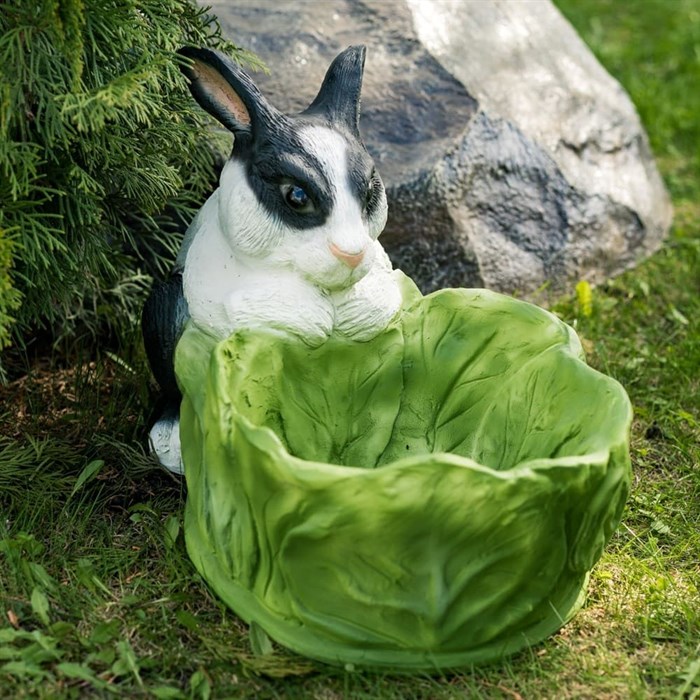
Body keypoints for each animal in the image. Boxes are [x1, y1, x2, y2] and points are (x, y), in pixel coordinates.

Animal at [142, 45, 402, 476]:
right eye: (296, 196)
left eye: (370, 192)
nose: (351, 254)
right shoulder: (219, 287)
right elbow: (259, 308)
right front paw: (315, 321)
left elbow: (381, 297)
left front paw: (350, 317)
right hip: (164, 307)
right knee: (173, 391)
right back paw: (174, 447)